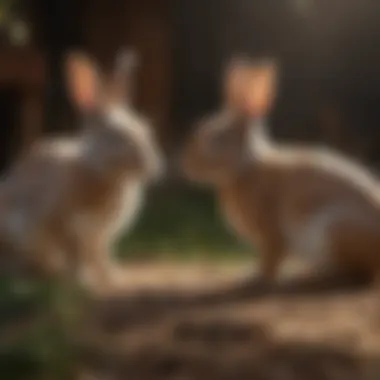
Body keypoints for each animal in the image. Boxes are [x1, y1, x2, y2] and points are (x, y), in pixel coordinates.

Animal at [0, 46, 163, 288]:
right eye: (113, 135)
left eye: (144, 128)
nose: (151, 167)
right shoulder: (66, 227)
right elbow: (75, 256)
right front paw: (83, 283)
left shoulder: (101, 237)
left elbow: (102, 256)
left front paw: (113, 277)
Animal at [181, 58, 380, 286]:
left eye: (216, 137)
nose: (186, 165)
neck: (245, 166)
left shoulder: (271, 233)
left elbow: (271, 260)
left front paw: (253, 277)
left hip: (335, 230)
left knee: (359, 273)